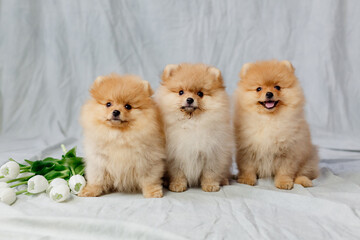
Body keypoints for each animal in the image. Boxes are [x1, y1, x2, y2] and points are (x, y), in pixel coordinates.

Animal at [155, 62, 233, 192]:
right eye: (181, 92)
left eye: (200, 94)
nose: (190, 99)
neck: (191, 123)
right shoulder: (175, 155)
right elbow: (177, 173)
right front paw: (177, 185)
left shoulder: (213, 153)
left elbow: (210, 172)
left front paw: (210, 185)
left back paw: (223, 180)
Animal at [235, 59, 320, 189]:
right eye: (258, 89)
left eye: (277, 87)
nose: (269, 94)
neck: (269, 119)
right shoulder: (247, 150)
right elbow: (247, 167)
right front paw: (246, 179)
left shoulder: (288, 151)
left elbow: (285, 170)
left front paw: (283, 182)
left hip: (308, 158)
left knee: (303, 173)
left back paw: (304, 181)